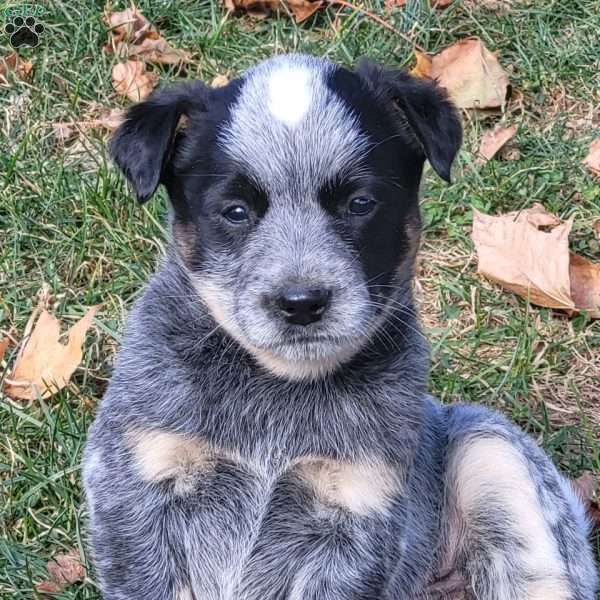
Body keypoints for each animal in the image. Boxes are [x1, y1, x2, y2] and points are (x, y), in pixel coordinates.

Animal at [82, 54, 596, 596]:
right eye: (235, 211)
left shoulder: (357, 514)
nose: (302, 302)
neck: (276, 391)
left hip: (490, 448)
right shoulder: (134, 487)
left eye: (360, 203)